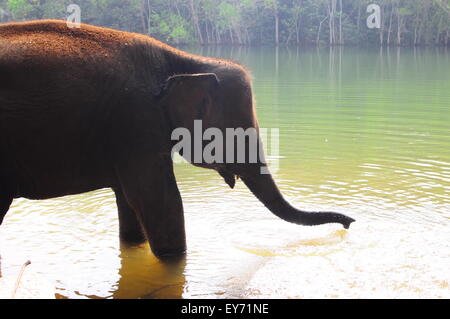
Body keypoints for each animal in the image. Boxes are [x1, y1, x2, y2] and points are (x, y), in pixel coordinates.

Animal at [0, 20, 354, 260]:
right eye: (239, 130)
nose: (350, 222)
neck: (184, 60)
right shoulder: (136, 120)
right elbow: (161, 201)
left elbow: (130, 204)